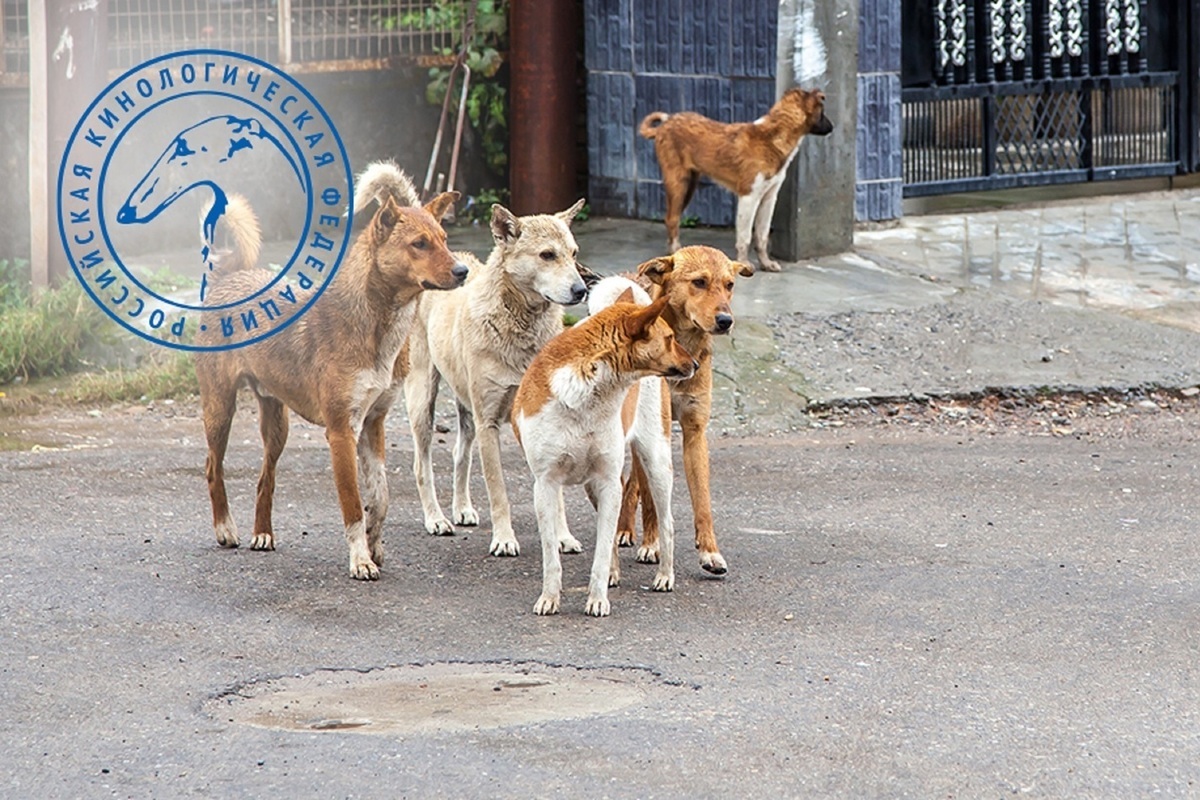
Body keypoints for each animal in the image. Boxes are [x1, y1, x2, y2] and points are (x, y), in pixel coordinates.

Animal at [194, 165, 460, 578]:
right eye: (419, 244)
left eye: (445, 240)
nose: (463, 270)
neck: (376, 325)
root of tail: (229, 278)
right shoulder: (341, 433)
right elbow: (352, 505)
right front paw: (360, 559)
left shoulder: (374, 424)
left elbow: (381, 496)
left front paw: (375, 544)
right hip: (220, 409)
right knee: (212, 467)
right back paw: (225, 528)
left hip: (277, 425)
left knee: (265, 478)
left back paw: (263, 534)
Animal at [403, 199, 590, 556]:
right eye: (547, 255)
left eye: (574, 253)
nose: (581, 290)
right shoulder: (488, 422)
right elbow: (497, 488)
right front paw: (504, 538)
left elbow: (555, 491)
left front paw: (562, 536)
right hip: (422, 399)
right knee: (421, 466)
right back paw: (436, 518)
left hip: (466, 410)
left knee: (460, 454)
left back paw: (461, 508)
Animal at [511, 297, 700, 618]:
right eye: (670, 338)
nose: (696, 365)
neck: (587, 392)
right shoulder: (546, 485)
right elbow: (552, 555)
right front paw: (549, 597)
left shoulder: (609, 482)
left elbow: (600, 553)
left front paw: (597, 599)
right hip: (593, 487)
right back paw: (614, 573)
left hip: (656, 465)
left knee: (667, 523)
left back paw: (665, 575)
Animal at [619, 245, 748, 575]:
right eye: (699, 282)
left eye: (729, 285)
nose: (725, 320)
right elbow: (651, 498)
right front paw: (652, 545)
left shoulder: (694, 431)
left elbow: (702, 501)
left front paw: (710, 553)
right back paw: (625, 529)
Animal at [638, 86, 835, 271]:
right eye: (822, 112)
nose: (832, 128)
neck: (772, 137)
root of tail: (664, 124)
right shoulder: (748, 196)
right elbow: (745, 236)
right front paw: (744, 263)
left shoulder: (769, 198)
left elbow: (762, 235)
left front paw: (766, 263)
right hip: (678, 182)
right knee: (671, 218)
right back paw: (675, 252)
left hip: (690, 184)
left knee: (674, 216)